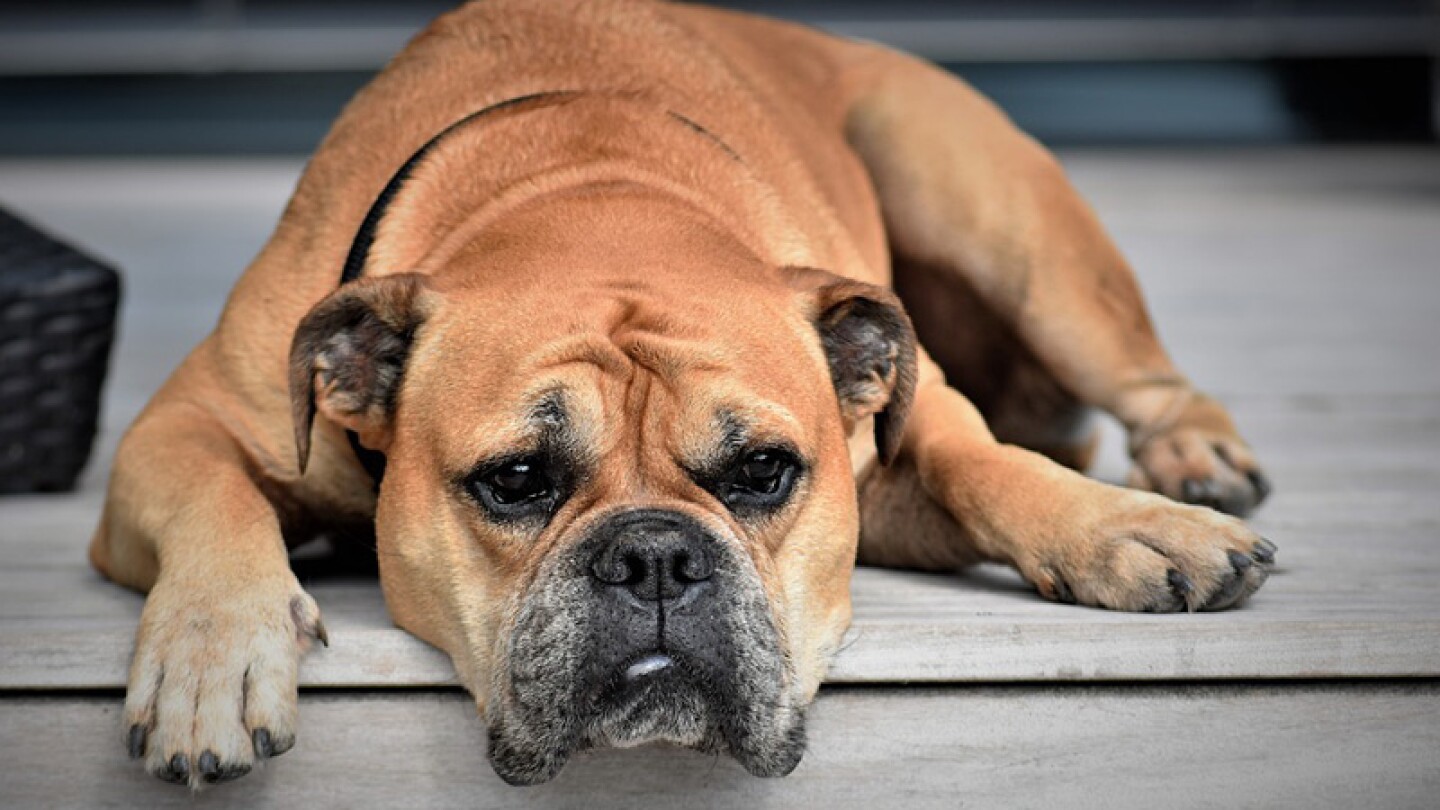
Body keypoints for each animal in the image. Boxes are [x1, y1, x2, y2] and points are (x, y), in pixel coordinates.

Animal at [92, 0, 1272, 784]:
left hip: (1000, 217)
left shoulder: (904, 427)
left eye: (763, 471)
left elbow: (982, 461)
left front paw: (1126, 527)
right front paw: (212, 655)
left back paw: (1192, 463)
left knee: (1143, 378)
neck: (588, 188)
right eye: (515, 480)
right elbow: (214, 495)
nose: (654, 555)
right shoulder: (180, 425)